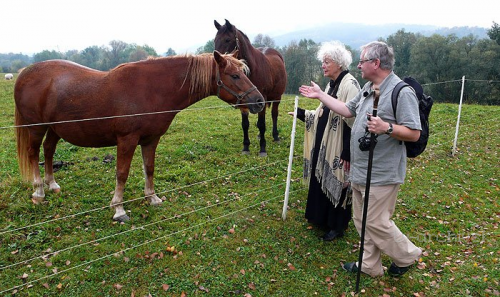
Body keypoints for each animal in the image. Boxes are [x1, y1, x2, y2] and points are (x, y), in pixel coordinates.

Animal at [14, 51, 266, 221]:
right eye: (234, 75)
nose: (259, 101)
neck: (152, 90)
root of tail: (24, 74)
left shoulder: (150, 140)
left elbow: (149, 168)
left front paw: (152, 198)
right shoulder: (127, 140)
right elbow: (122, 173)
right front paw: (118, 209)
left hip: (55, 129)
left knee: (48, 151)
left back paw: (52, 185)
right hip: (36, 128)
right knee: (33, 153)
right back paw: (39, 191)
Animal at [213, 19, 288, 155]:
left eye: (227, 39)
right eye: (215, 40)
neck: (252, 70)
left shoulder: (261, 98)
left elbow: (263, 123)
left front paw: (262, 148)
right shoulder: (244, 100)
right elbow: (245, 124)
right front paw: (246, 146)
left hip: (277, 97)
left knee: (274, 114)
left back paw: (275, 136)